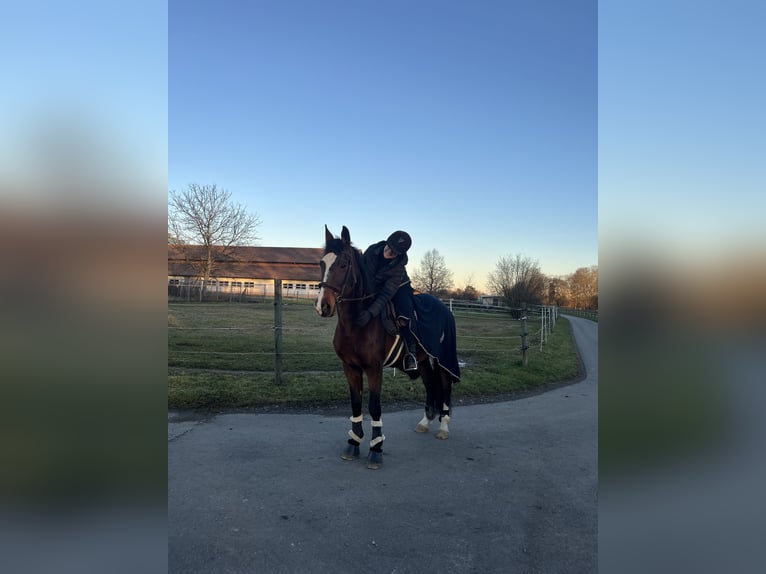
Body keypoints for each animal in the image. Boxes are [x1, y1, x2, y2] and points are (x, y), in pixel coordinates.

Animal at [314, 227, 460, 470]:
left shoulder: (374, 369)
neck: (358, 323)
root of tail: (444, 308)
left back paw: (443, 427)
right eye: (322, 264)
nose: (323, 306)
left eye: (343, 264)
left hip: (442, 361)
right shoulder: (350, 368)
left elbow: (374, 406)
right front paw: (353, 443)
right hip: (422, 362)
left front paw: (376, 449)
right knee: (431, 385)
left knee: (445, 386)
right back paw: (425, 422)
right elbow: (356, 404)